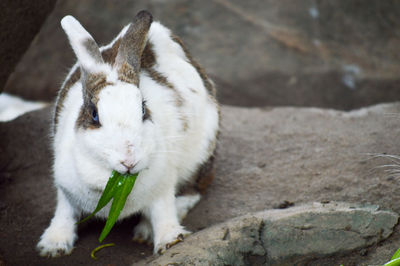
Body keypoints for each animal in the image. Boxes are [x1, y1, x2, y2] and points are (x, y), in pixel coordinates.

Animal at [37, 10, 219, 258]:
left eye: (143, 109)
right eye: (94, 115)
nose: (129, 160)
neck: (116, 181)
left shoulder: (162, 186)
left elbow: (163, 211)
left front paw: (170, 240)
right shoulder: (66, 188)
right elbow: (64, 212)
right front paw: (52, 245)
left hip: (202, 153)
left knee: (193, 191)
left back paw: (146, 230)